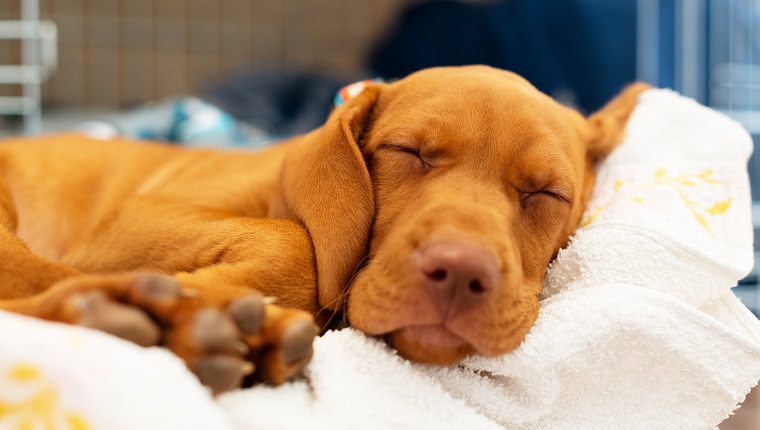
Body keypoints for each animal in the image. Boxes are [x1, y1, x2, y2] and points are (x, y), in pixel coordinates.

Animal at [0, 66, 648, 394]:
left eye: (547, 194)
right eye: (408, 152)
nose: (461, 271)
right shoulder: (127, 223)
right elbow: (296, 247)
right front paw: (214, 297)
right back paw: (158, 315)